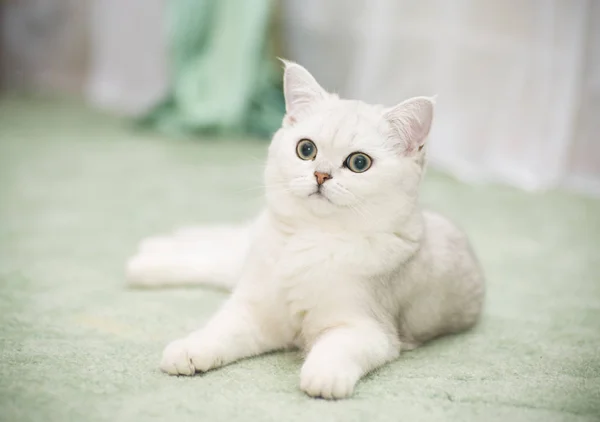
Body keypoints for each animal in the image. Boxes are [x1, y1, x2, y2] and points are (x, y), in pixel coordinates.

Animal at [126, 61, 482, 398]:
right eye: (306, 149)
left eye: (359, 163)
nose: (321, 175)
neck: (309, 239)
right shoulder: (254, 309)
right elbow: (220, 329)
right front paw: (190, 348)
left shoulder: (368, 328)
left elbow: (337, 348)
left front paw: (323, 377)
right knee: (214, 247)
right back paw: (148, 257)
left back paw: (146, 258)